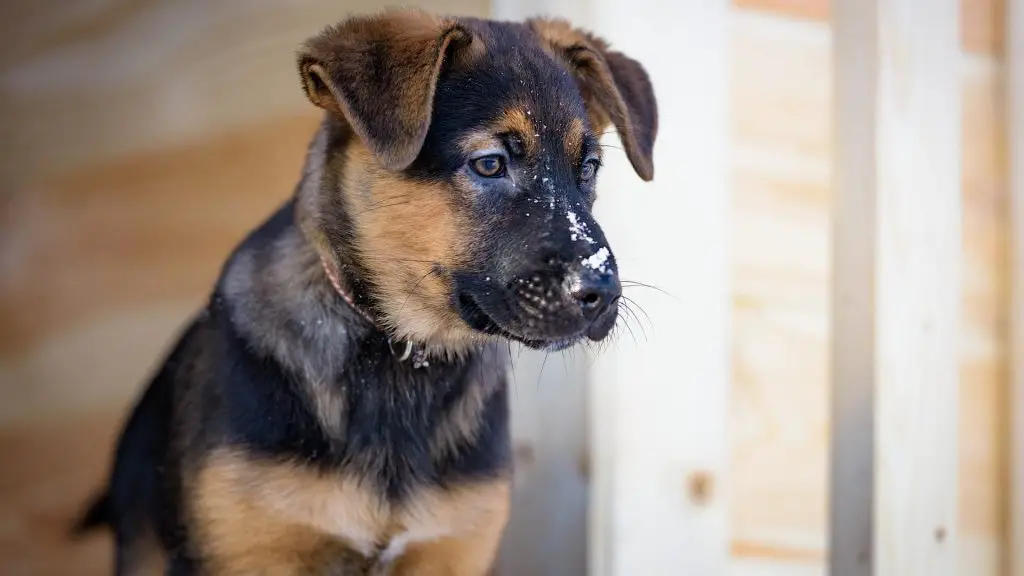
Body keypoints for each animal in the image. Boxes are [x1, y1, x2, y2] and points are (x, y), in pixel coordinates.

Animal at [75, 10, 659, 573]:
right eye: (490, 163)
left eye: (588, 168)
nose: (602, 292)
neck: (399, 357)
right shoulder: (250, 550)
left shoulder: (454, 549)